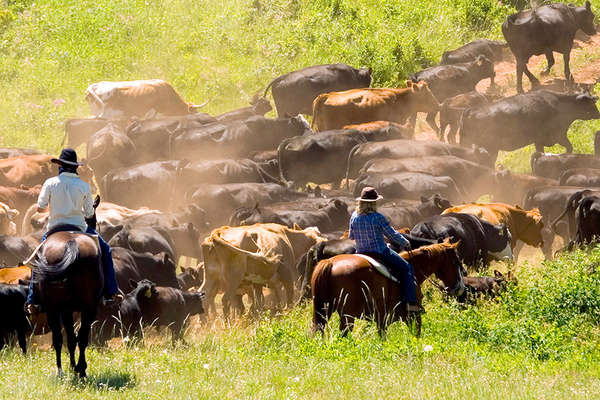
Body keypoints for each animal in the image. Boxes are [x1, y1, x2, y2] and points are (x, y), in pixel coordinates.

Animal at [30, 197, 102, 378]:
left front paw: (71, 366)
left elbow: (69, 337)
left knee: (59, 337)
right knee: (80, 337)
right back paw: (80, 369)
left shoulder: (65, 310)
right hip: (87, 306)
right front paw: (74, 366)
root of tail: (71, 243)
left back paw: (62, 370)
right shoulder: (70, 309)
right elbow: (72, 337)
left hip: (54, 308)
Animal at [312, 241, 466, 338]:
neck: (414, 268)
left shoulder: (382, 320)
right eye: (456, 262)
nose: (460, 288)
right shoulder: (412, 315)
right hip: (347, 316)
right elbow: (416, 334)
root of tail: (330, 262)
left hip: (324, 311)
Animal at [460, 90, 600, 164]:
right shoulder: (558, 135)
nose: (598, 114)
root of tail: (471, 110)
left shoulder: (540, 141)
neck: (560, 105)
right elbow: (569, 148)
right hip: (490, 148)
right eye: (590, 103)